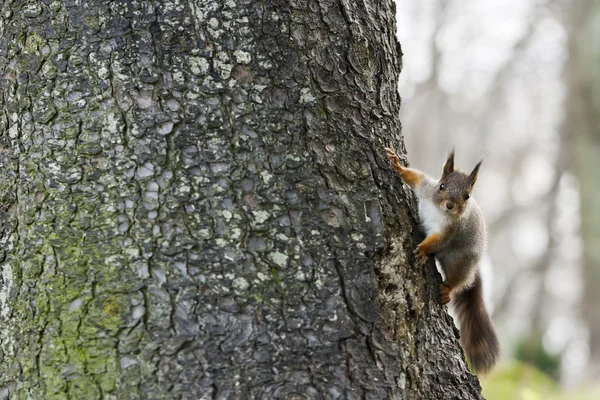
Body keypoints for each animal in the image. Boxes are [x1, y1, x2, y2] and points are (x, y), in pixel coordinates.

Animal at [386, 147, 500, 376]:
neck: (438, 210)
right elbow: (415, 177)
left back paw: (448, 289)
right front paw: (397, 164)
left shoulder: (449, 231)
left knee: (459, 281)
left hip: (460, 262)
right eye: (442, 186)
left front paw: (422, 250)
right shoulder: (426, 188)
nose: (450, 205)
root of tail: (474, 268)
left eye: (467, 196)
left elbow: (435, 241)